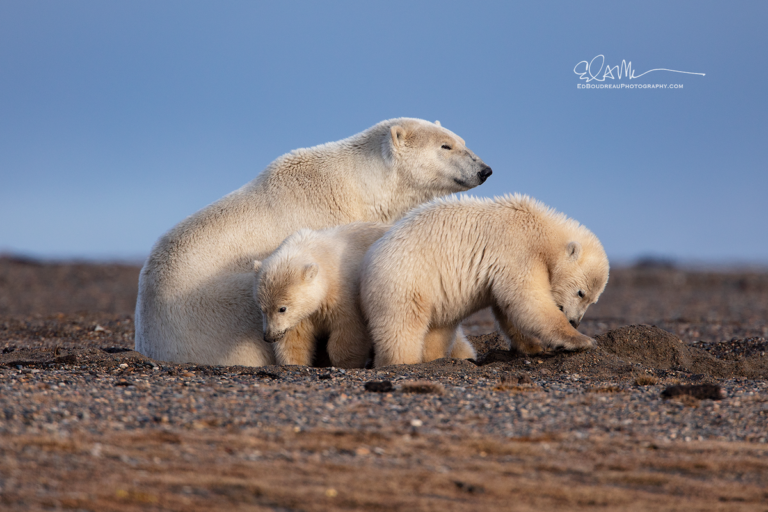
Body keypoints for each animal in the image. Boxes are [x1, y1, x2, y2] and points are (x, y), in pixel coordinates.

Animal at [135, 118, 492, 366]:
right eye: (445, 146)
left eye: (461, 141)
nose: (485, 169)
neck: (360, 186)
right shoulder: (328, 222)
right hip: (216, 307)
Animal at [362, 194, 612, 366]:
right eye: (581, 292)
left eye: (593, 301)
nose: (575, 321)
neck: (541, 230)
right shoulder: (518, 249)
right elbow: (528, 300)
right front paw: (582, 340)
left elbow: (509, 308)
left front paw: (534, 347)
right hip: (406, 282)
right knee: (402, 326)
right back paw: (403, 362)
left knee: (439, 329)